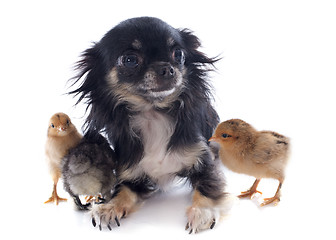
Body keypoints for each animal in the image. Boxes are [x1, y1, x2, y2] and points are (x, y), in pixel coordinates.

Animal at [70, 16, 228, 232]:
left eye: (178, 54)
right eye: (130, 60)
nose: (167, 68)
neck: (152, 113)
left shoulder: (202, 161)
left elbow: (208, 186)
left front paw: (203, 212)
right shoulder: (132, 174)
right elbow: (122, 192)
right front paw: (108, 208)